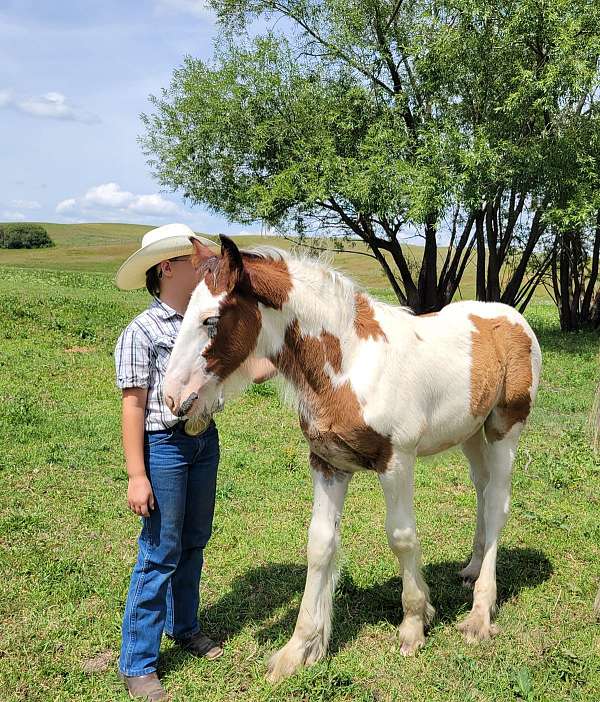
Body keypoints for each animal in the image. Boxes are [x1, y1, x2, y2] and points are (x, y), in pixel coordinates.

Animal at [162, 236, 540, 680]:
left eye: (211, 319)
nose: (171, 396)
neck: (352, 363)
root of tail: (513, 317)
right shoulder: (328, 464)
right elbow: (320, 543)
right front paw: (299, 648)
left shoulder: (396, 460)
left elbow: (401, 537)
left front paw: (414, 624)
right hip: (470, 433)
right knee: (482, 490)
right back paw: (471, 567)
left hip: (504, 429)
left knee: (497, 503)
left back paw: (479, 614)